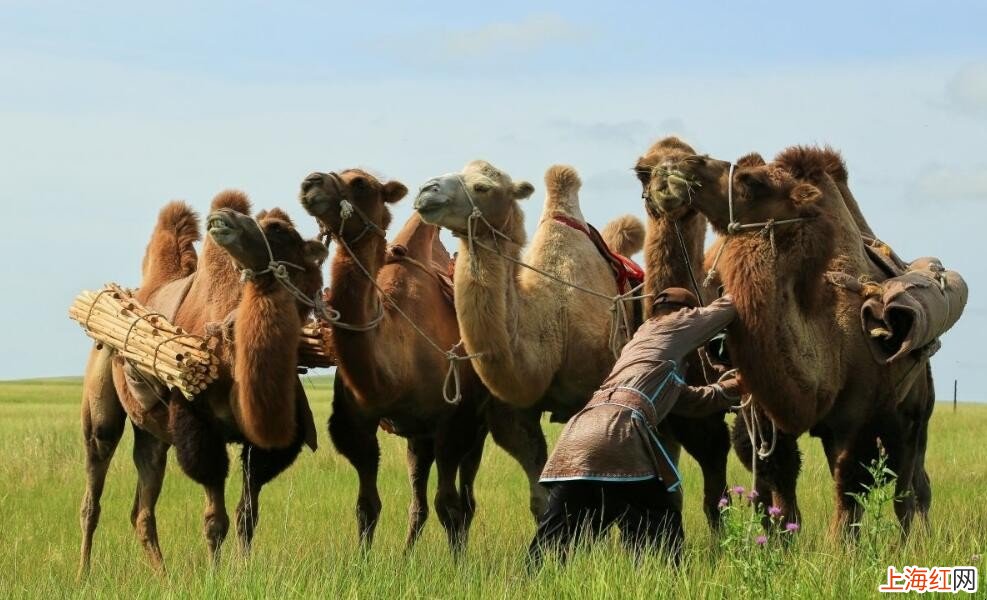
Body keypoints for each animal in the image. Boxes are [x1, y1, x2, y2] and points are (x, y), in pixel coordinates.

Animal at [78, 190, 324, 576]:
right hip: (100, 398)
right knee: (93, 488)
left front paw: (242, 572)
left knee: (142, 508)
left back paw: (162, 577)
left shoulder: (263, 443)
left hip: (152, 434)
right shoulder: (200, 428)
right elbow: (214, 519)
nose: (222, 219)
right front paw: (214, 575)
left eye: (280, 230)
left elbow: (247, 515)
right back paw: (83, 573)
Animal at [652, 150, 936, 536]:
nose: (684, 163)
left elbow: (848, 491)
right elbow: (781, 485)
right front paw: (781, 542)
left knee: (909, 489)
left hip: (917, 412)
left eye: (752, 181)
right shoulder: (767, 416)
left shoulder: (860, 419)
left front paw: (836, 551)